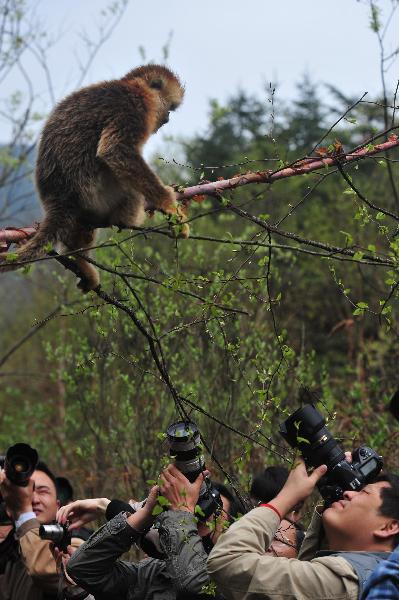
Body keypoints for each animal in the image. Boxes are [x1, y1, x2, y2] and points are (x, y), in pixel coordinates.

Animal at [0, 64, 188, 292]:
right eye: (170, 107)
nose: (167, 117)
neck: (132, 86)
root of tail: (60, 200)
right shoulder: (133, 107)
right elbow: (115, 151)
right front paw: (169, 205)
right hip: (98, 196)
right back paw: (125, 219)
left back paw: (80, 260)